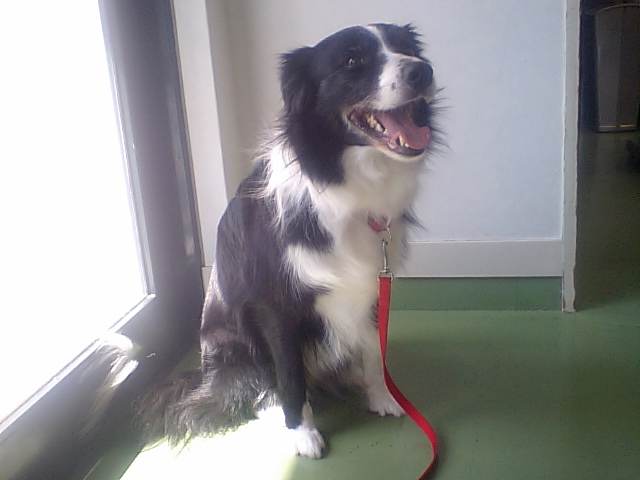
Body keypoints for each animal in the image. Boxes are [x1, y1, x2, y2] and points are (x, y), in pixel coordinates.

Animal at [137, 23, 437, 459]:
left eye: (407, 49)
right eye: (352, 60)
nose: (422, 71)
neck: (341, 184)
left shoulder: (371, 284)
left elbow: (372, 349)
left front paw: (381, 396)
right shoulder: (274, 304)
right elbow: (291, 372)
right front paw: (302, 431)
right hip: (236, 339)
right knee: (256, 382)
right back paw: (271, 405)